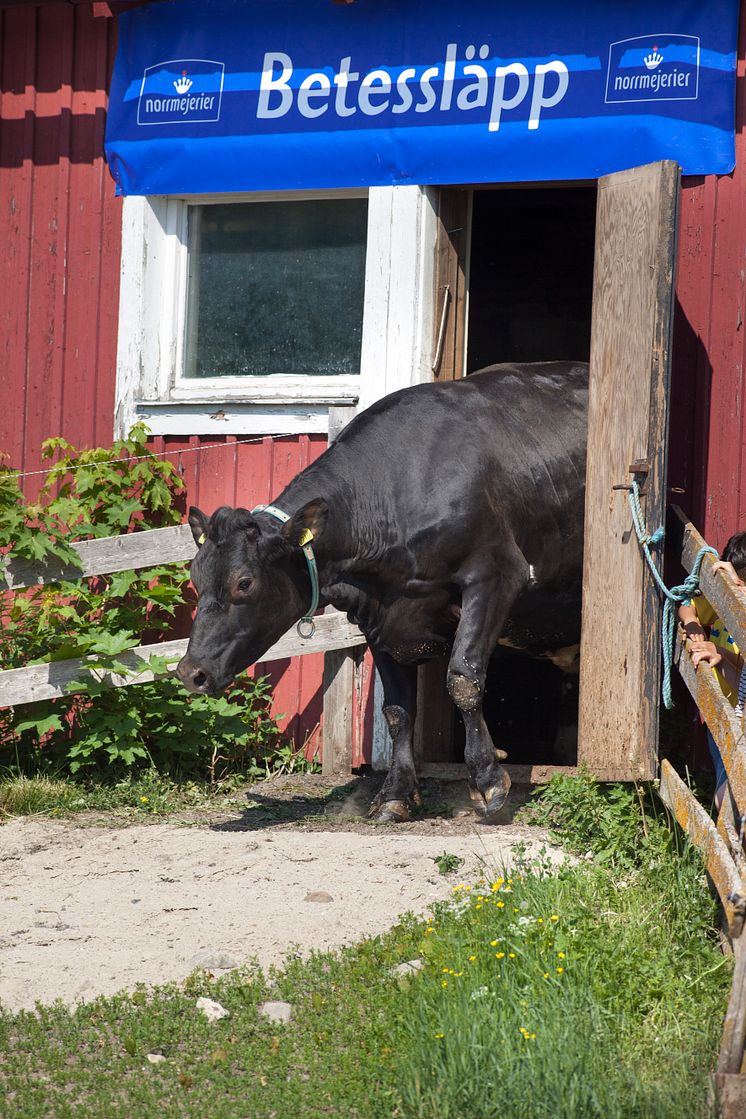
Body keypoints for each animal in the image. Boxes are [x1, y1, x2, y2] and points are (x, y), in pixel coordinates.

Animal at [176, 360, 590, 823]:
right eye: (195, 576)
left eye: (244, 582)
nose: (191, 672)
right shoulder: (380, 614)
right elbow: (397, 710)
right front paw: (395, 793)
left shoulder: (496, 574)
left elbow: (463, 678)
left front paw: (487, 782)